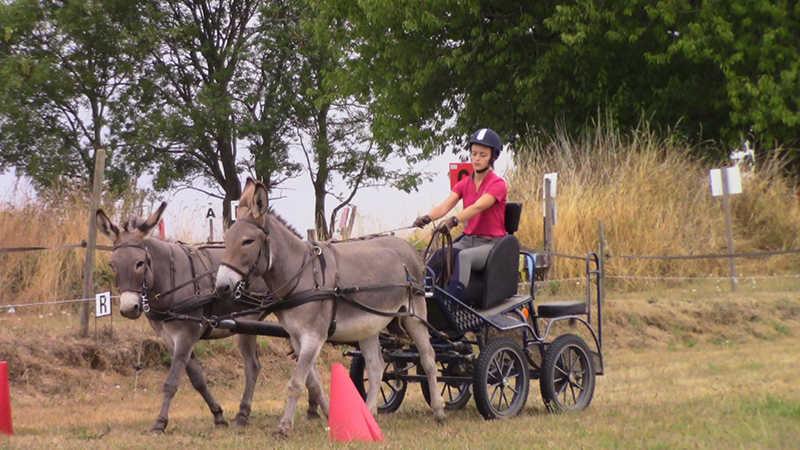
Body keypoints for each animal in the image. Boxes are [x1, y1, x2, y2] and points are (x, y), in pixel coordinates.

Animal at [96, 202, 320, 434]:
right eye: (112, 265)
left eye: (139, 264)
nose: (129, 308)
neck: (171, 277)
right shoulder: (170, 339)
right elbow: (197, 379)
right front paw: (218, 415)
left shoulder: (186, 335)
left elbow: (171, 382)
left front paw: (160, 423)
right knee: (261, 365)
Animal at [214, 178, 446, 439]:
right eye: (226, 240)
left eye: (247, 241)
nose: (221, 287)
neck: (301, 275)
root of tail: (408, 245)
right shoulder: (296, 337)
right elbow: (311, 383)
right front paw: (331, 416)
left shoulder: (313, 336)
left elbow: (296, 382)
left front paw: (283, 428)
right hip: (369, 324)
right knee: (376, 367)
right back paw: (370, 416)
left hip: (415, 313)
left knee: (428, 358)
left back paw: (439, 411)